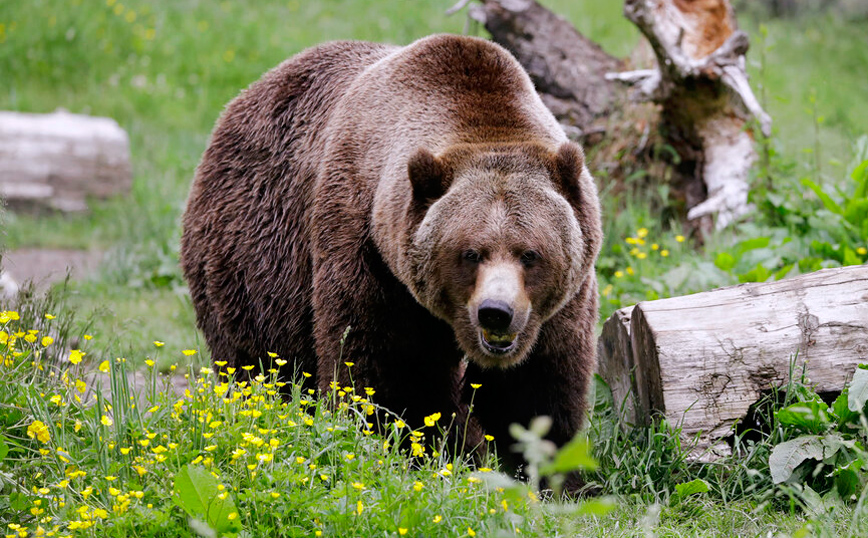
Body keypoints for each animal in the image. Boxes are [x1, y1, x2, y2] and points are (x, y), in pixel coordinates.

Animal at [182, 33, 600, 460]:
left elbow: (535, 389)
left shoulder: (560, 304)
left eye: (530, 254)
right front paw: (414, 443)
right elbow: (386, 370)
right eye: (470, 253)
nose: (496, 313)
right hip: (255, 253)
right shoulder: (368, 249)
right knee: (260, 359)